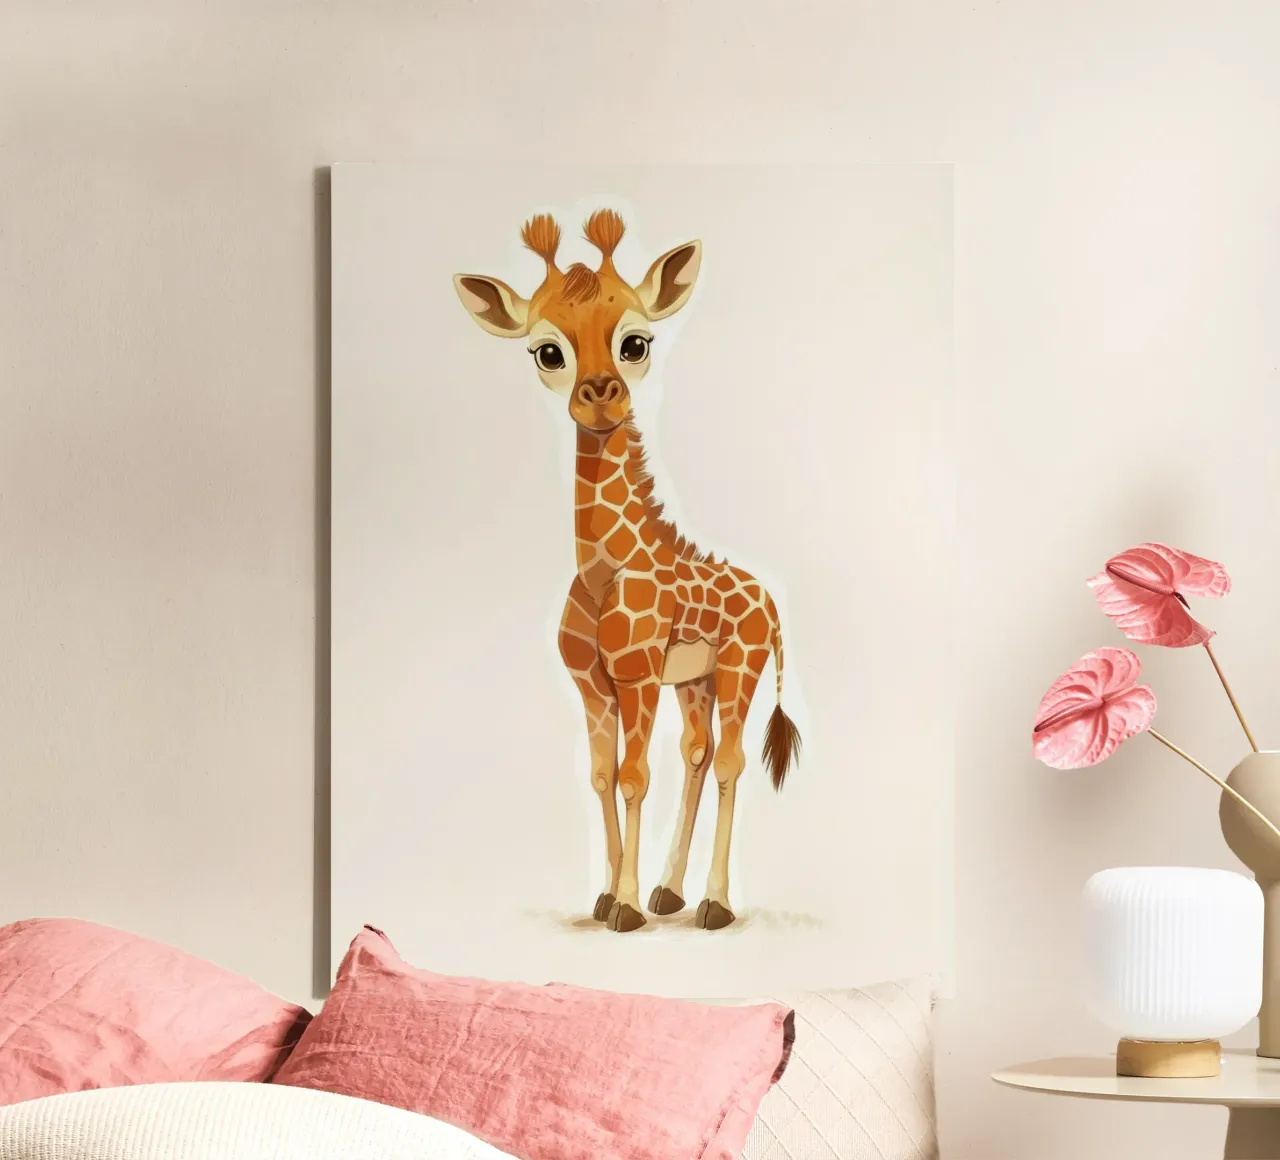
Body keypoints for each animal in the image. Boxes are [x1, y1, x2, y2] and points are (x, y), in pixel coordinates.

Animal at [453, 209, 801, 933]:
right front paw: (612, 894)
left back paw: (714, 903)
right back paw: (672, 890)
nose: (600, 395)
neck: (603, 566)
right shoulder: (593, 684)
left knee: (730, 761)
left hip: (740, 667)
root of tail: (771, 601)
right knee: (698, 753)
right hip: (695, 680)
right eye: (547, 351)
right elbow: (602, 775)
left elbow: (634, 777)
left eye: (635, 342)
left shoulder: (637, 675)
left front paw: (628, 907)